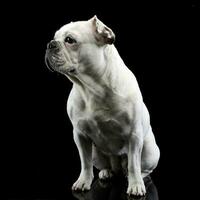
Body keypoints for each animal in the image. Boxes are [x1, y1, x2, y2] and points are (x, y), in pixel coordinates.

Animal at [45, 16, 159, 197]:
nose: (50, 44)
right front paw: (83, 181)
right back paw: (107, 172)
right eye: (54, 37)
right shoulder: (80, 135)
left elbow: (133, 164)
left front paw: (135, 185)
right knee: (104, 165)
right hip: (96, 153)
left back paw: (137, 177)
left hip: (149, 150)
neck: (93, 87)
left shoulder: (134, 136)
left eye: (70, 40)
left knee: (140, 167)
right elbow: (85, 163)